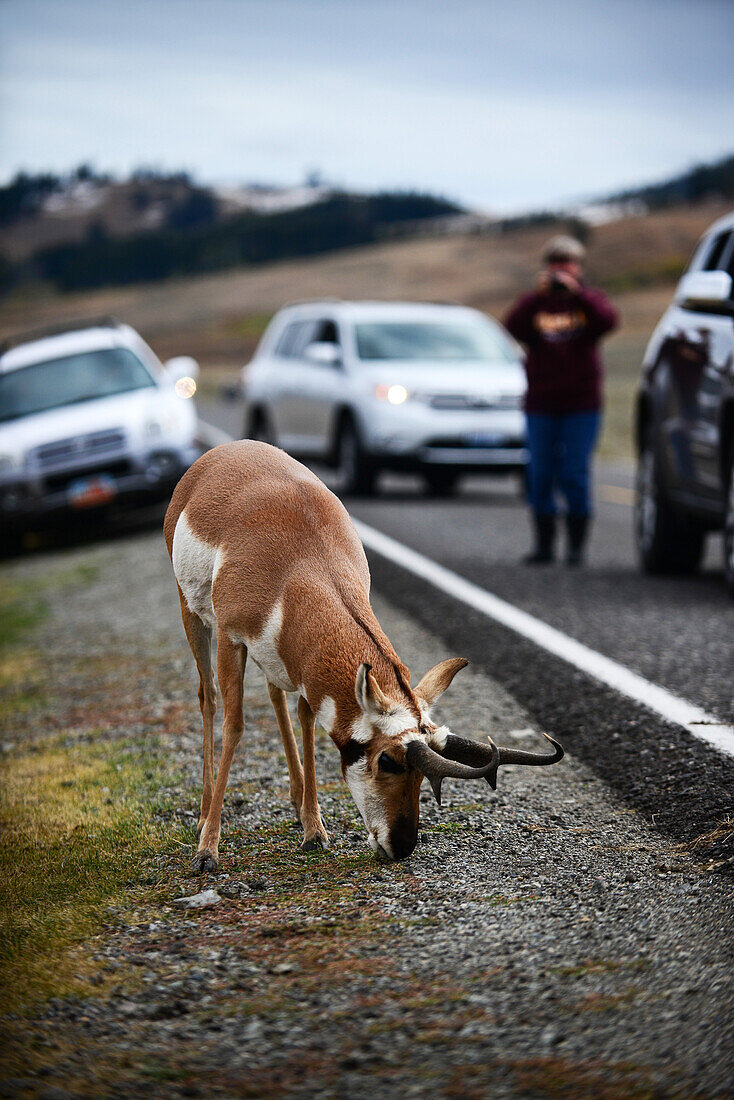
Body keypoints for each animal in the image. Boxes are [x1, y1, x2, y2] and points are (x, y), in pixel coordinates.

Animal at [161, 437, 563, 866]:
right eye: (386, 760)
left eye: (422, 774)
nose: (402, 846)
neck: (301, 564)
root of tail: (224, 452)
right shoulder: (232, 638)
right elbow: (235, 725)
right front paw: (208, 851)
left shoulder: (303, 667)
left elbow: (306, 719)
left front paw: (314, 831)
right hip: (193, 617)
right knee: (208, 698)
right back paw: (204, 818)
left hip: (271, 656)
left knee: (273, 695)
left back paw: (295, 800)